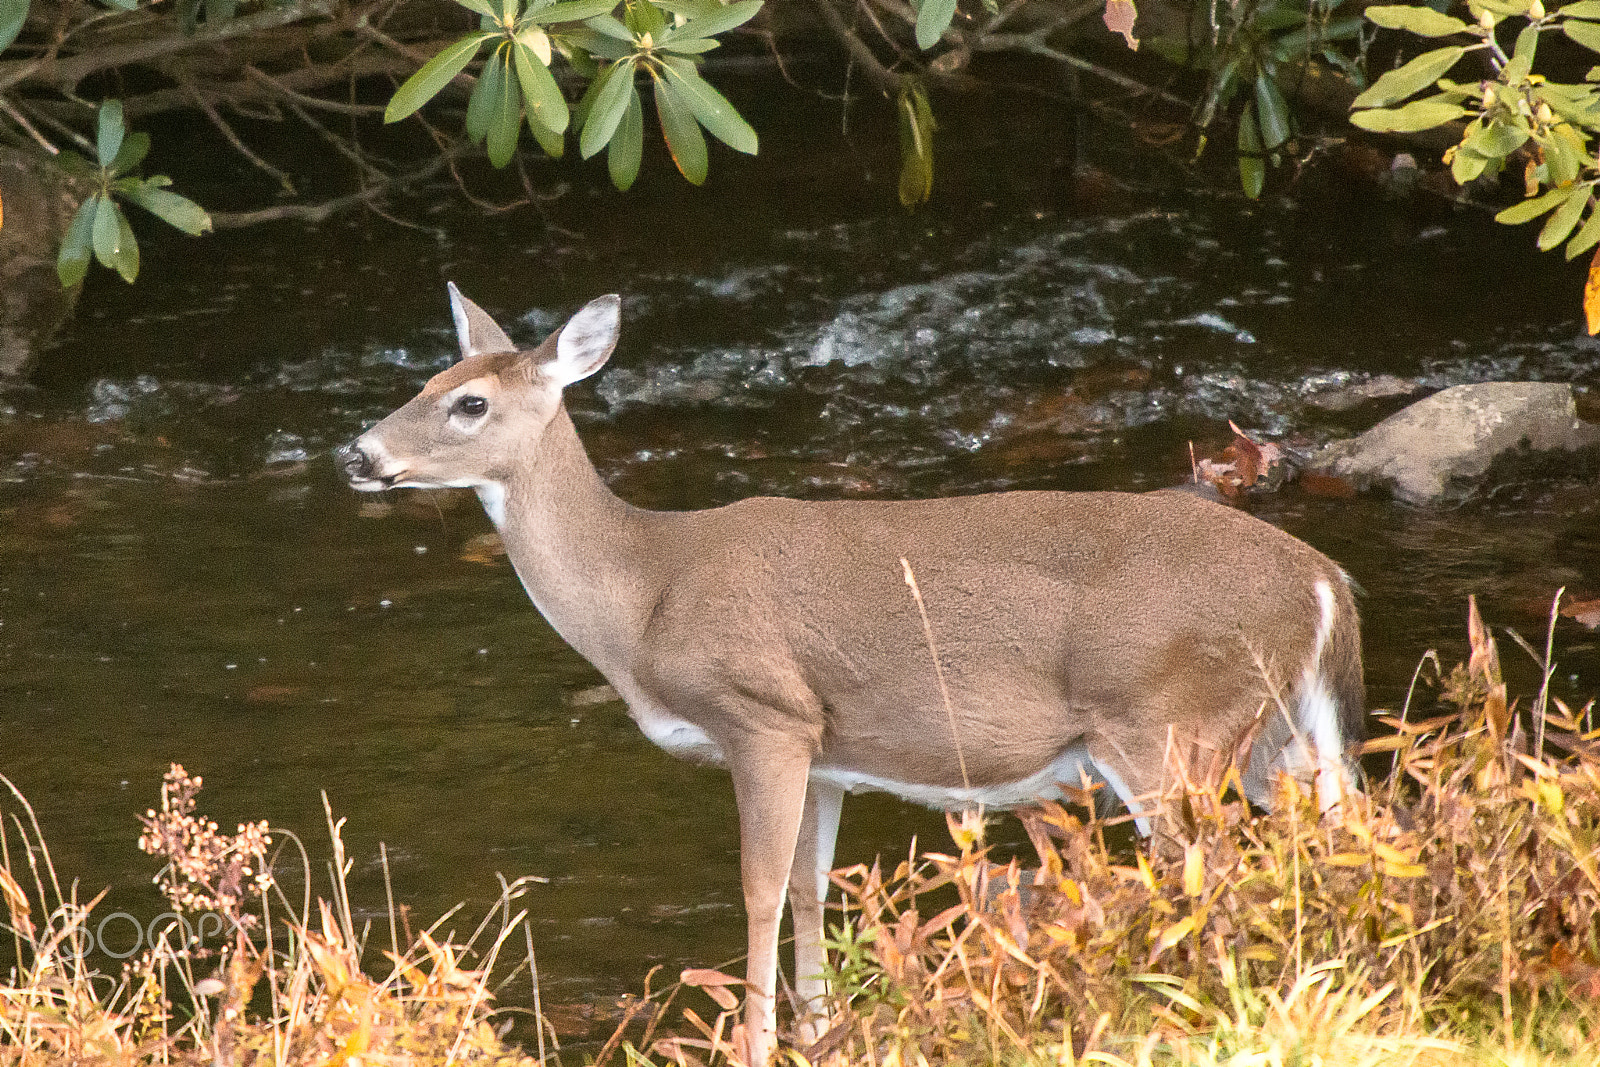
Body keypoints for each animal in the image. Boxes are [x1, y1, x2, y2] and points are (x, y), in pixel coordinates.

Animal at [336, 286, 1365, 1065]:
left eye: (470, 403)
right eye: (425, 381)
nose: (357, 453)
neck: (644, 593)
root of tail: (1326, 579)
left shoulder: (766, 715)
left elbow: (756, 888)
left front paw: (755, 1045)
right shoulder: (828, 753)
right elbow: (809, 887)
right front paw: (817, 1031)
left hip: (1166, 723)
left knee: (1215, 871)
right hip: (1276, 735)